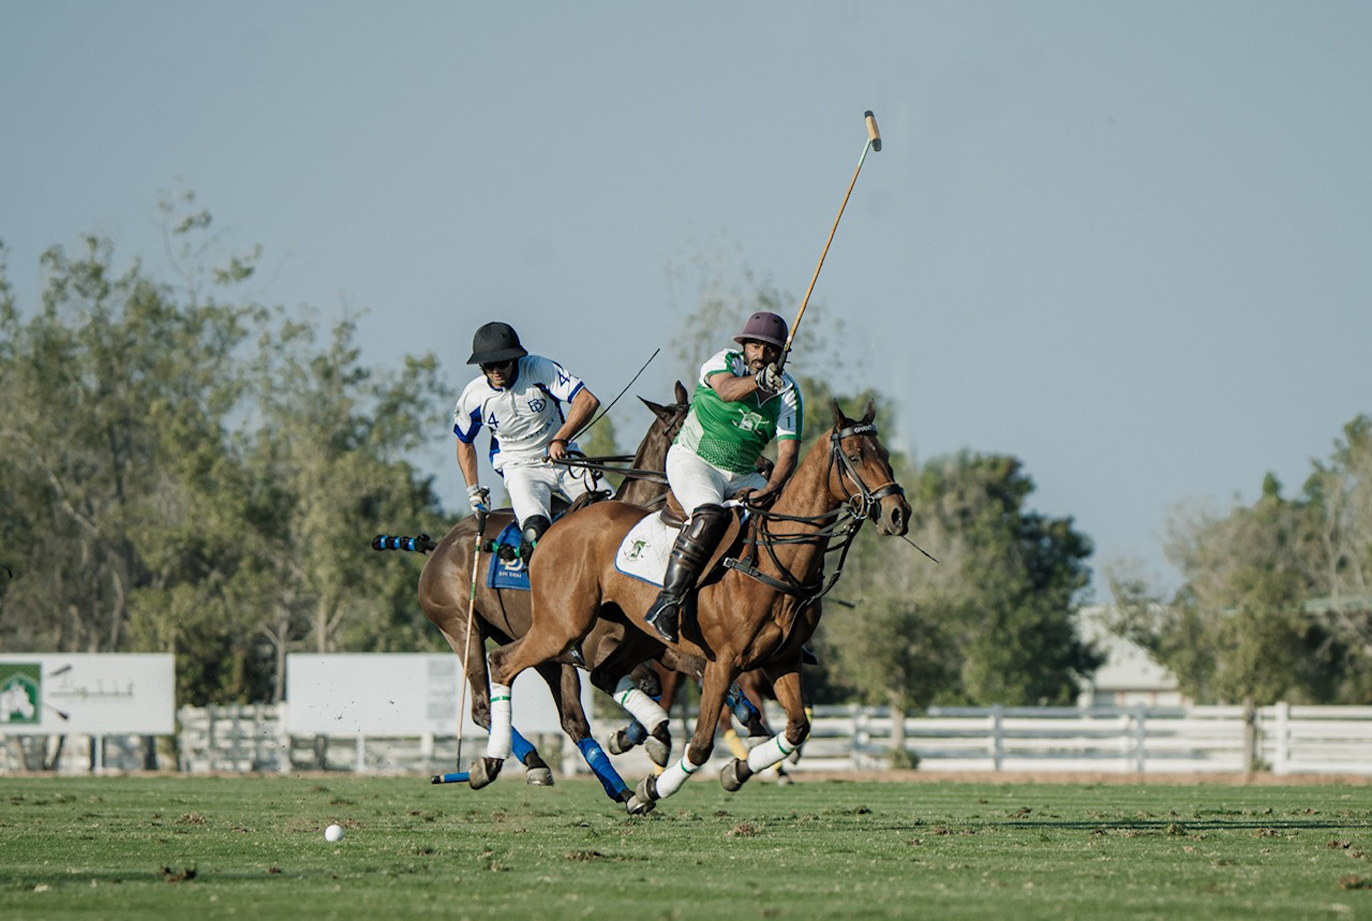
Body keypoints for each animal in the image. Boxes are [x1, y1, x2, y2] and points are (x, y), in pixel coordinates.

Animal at [414, 381, 691, 801]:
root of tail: (440, 546)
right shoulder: (600, 649)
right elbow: (645, 682)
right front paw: (638, 739)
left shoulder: (649, 643)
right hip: (463, 628)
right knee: (482, 705)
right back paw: (517, 763)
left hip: (541, 649)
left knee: (572, 721)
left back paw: (609, 786)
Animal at [480, 400, 911, 812]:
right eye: (854, 456)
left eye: (886, 453)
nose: (898, 513)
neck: (777, 560)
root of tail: (555, 526)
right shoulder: (723, 662)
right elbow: (702, 743)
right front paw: (652, 789)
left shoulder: (783, 660)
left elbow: (795, 729)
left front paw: (736, 771)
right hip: (563, 626)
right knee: (502, 663)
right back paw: (493, 762)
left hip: (634, 635)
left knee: (603, 675)